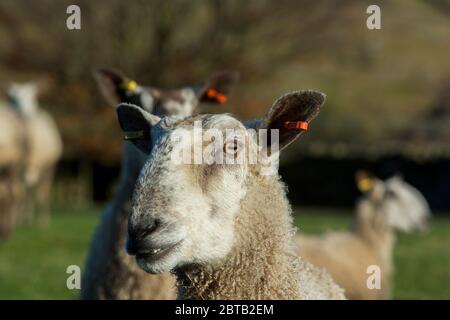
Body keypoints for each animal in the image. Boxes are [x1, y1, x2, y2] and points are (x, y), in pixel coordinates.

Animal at [6, 82, 62, 225]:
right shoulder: (16, 167)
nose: (23, 113)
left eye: (32, 97)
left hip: (49, 166)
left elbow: (37, 192)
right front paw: (15, 219)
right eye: (13, 99)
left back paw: (41, 219)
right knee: (27, 191)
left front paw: (42, 221)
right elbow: (18, 192)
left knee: (42, 190)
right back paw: (25, 217)